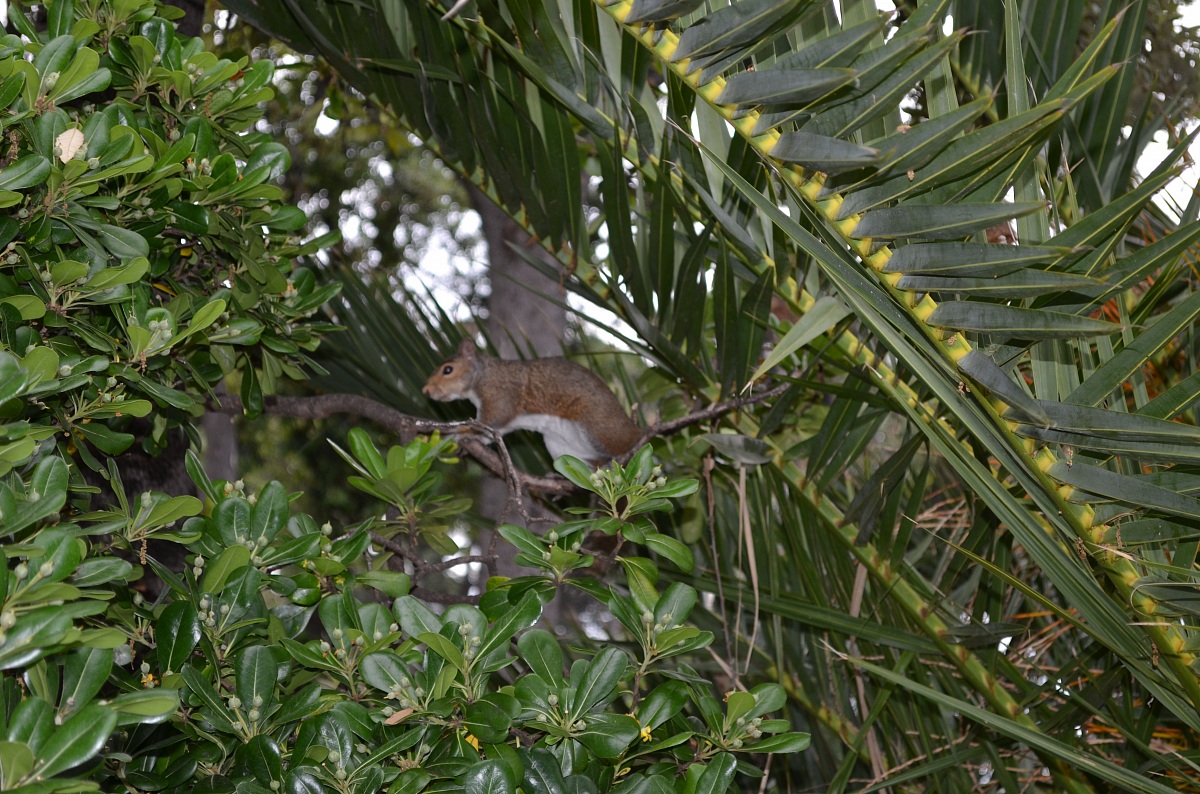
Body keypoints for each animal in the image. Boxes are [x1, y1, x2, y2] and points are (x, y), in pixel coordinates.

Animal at [422, 339, 641, 464]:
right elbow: (490, 433)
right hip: (560, 448)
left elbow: (489, 421)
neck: (482, 375)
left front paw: (460, 431)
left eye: (447, 370)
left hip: (598, 428)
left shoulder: (500, 396)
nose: (426, 390)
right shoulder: (504, 425)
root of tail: (634, 428)